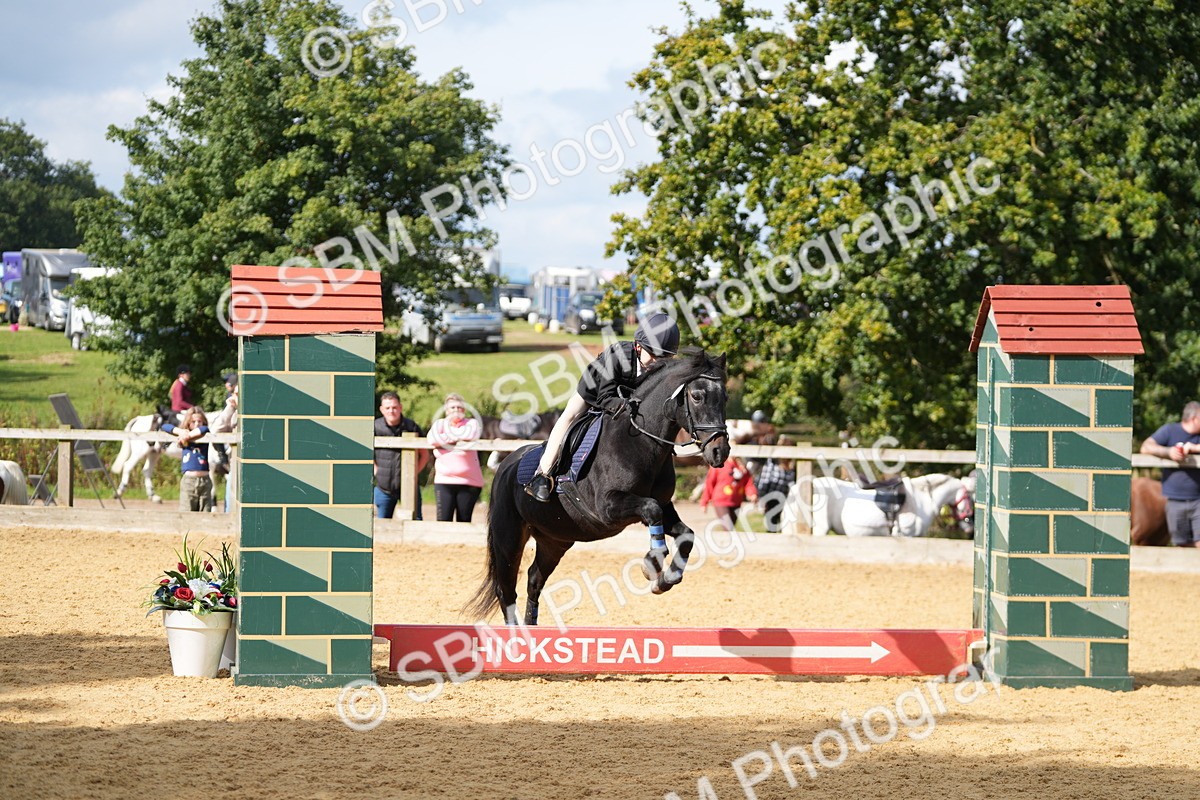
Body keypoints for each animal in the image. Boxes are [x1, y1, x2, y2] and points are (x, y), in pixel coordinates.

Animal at [468, 349, 731, 626]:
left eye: (724, 397)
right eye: (697, 396)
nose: (719, 451)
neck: (643, 442)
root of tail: (505, 466)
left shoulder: (662, 506)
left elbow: (685, 533)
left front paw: (665, 579)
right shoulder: (608, 507)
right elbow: (651, 510)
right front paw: (652, 562)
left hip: (555, 540)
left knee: (534, 579)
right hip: (508, 538)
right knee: (506, 589)